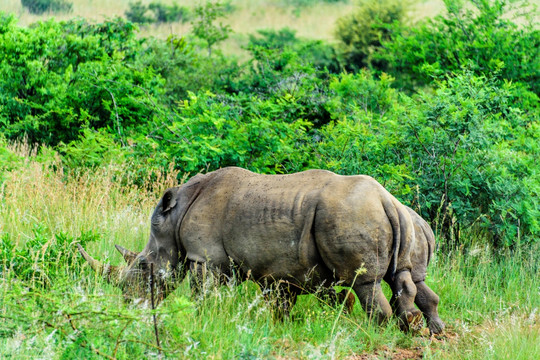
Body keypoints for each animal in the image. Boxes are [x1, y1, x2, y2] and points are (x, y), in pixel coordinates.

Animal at [79, 167, 442, 334]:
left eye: (143, 266)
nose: (129, 302)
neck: (174, 217)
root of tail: (385, 198)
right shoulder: (274, 269)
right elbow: (278, 304)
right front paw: (279, 326)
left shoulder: (204, 258)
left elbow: (203, 295)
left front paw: (204, 321)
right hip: (395, 219)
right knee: (408, 278)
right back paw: (425, 330)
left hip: (351, 214)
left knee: (364, 283)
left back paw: (379, 332)